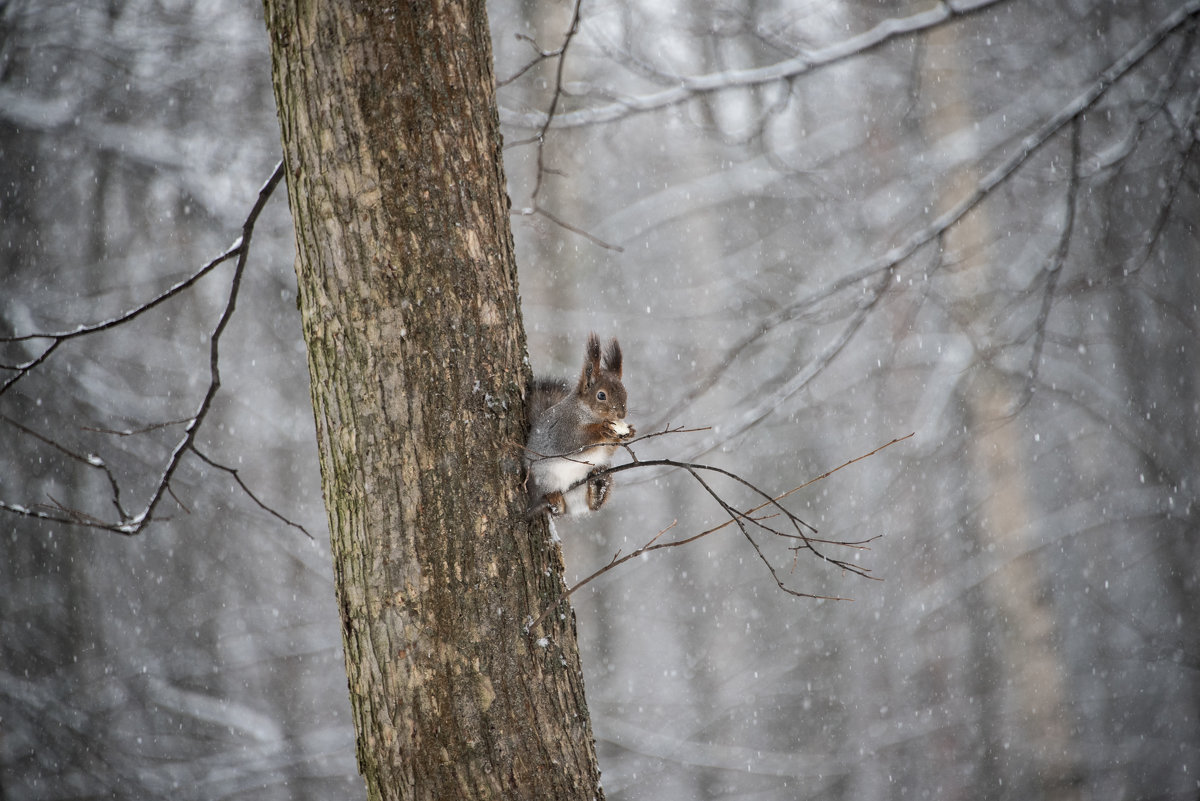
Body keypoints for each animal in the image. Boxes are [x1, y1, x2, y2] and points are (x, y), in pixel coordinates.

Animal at [525, 333, 638, 515]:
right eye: (601, 395)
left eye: (625, 392)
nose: (622, 415)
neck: (587, 414)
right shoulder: (563, 428)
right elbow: (576, 442)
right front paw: (602, 430)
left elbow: (608, 449)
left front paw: (628, 432)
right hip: (541, 478)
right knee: (558, 509)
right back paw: (554, 499)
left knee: (593, 505)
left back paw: (598, 485)